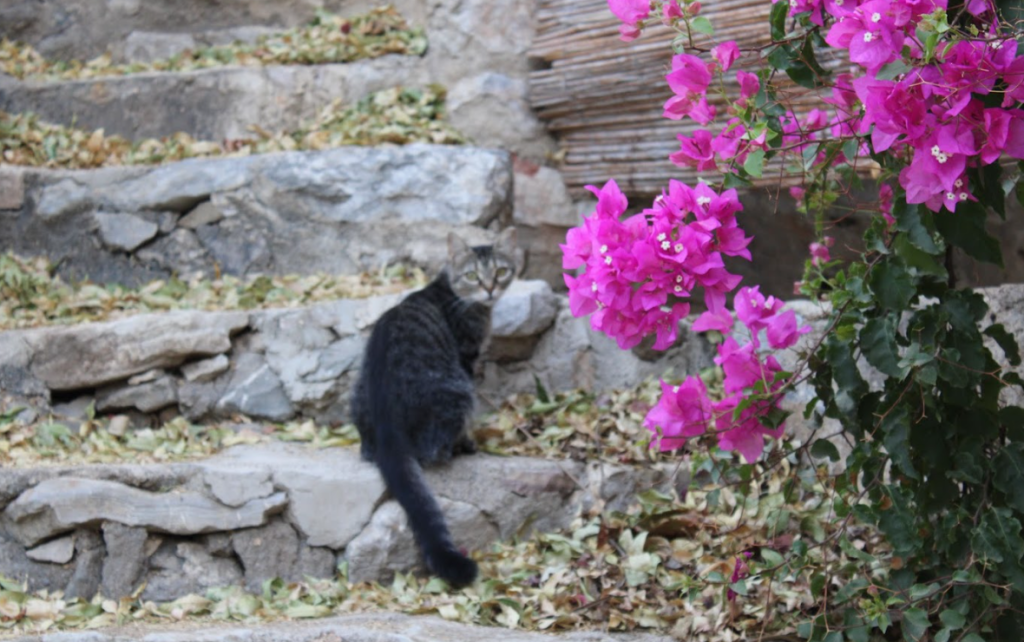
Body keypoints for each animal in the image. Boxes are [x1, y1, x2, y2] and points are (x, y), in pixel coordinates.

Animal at [350, 227, 518, 587]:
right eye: (472, 276)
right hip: (456, 391)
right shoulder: (467, 359)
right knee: (436, 448)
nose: (489, 289)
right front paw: (470, 441)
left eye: (500, 271)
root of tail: (387, 427)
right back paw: (459, 448)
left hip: (356, 393)